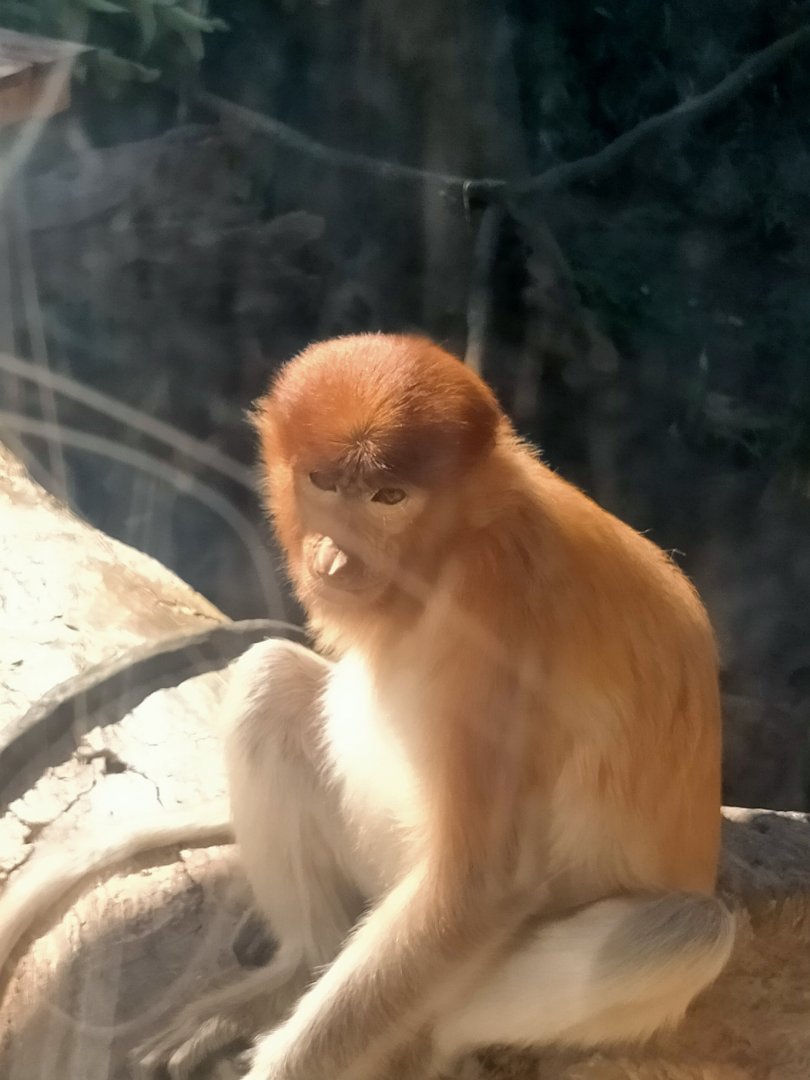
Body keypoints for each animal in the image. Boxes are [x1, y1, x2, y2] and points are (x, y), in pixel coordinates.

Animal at [0, 333, 735, 1080]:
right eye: (325, 484)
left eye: (389, 497)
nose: (334, 558)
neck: (462, 537)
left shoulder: (497, 614)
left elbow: (480, 886)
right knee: (268, 678)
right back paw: (294, 976)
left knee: (687, 934)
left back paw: (420, 1049)